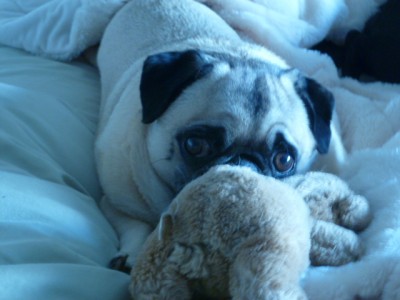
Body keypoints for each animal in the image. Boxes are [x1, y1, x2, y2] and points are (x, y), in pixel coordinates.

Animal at [96, 0, 344, 268]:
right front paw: (131, 255)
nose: (243, 164)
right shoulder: (115, 202)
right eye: (194, 145)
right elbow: (136, 223)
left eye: (284, 160)